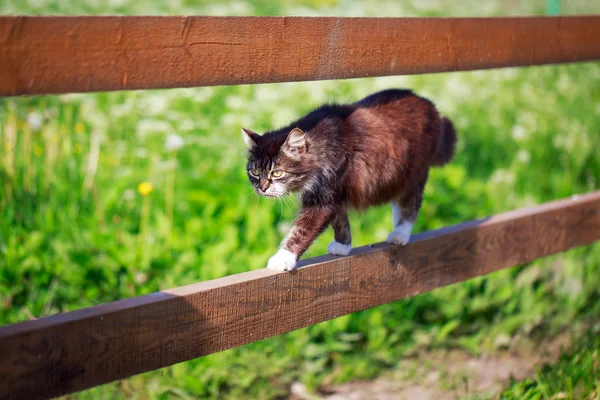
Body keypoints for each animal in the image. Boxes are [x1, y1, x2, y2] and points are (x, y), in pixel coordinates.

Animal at [241, 88, 458, 272]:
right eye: (255, 172)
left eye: (277, 173)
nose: (262, 188)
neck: (320, 147)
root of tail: (430, 106)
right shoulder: (336, 194)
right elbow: (340, 221)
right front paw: (343, 245)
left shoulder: (325, 197)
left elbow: (301, 231)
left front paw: (282, 259)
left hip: (413, 175)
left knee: (411, 204)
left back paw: (400, 233)